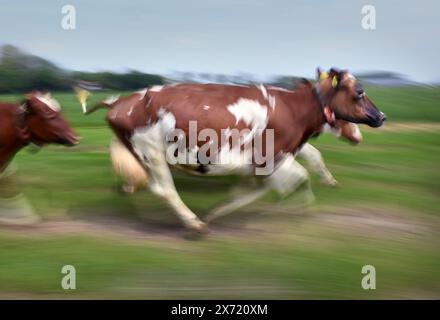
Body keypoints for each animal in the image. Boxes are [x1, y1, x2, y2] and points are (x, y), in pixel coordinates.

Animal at [81, 68, 384, 232]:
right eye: (359, 91)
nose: (381, 116)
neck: (293, 108)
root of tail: (121, 101)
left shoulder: (259, 165)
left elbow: (249, 192)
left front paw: (218, 211)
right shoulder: (273, 158)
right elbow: (300, 178)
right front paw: (300, 210)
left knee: (143, 182)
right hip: (152, 152)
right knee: (164, 188)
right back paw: (192, 223)